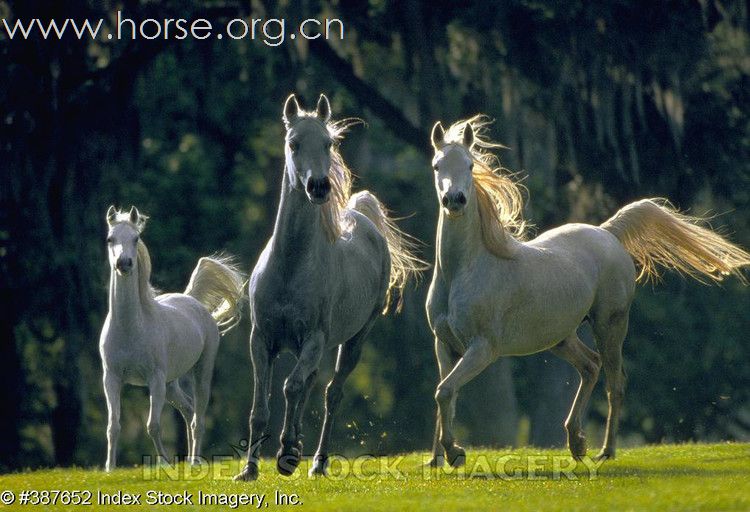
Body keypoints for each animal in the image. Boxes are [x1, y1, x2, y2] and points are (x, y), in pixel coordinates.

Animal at [99, 206, 244, 470]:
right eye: (110, 239)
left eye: (136, 238)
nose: (123, 263)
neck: (130, 327)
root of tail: (193, 300)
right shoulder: (111, 379)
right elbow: (113, 426)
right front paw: (109, 468)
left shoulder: (155, 379)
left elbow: (153, 426)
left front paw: (165, 463)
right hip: (171, 385)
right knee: (188, 409)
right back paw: (187, 460)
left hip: (201, 373)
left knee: (198, 419)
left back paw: (195, 461)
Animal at [235, 94, 426, 482]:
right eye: (293, 143)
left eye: (328, 143)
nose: (319, 187)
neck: (290, 267)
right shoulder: (261, 339)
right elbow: (260, 406)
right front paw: (249, 469)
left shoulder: (314, 340)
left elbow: (291, 387)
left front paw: (286, 455)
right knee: (310, 386)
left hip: (353, 341)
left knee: (330, 393)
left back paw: (316, 462)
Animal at [426, 116, 750, 468]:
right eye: (437, 165)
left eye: (471, 165)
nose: (454, 200)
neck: (466, 269)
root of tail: (607, 233)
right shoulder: (445, 345)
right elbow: (444, 395)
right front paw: (436, 459)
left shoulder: (483, 348)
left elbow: (445, 391)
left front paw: (455, 453)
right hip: (561, 338)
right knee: (591, 366)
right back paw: (576, 442)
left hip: (609, 325)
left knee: (614, 382)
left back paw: (604, 451)